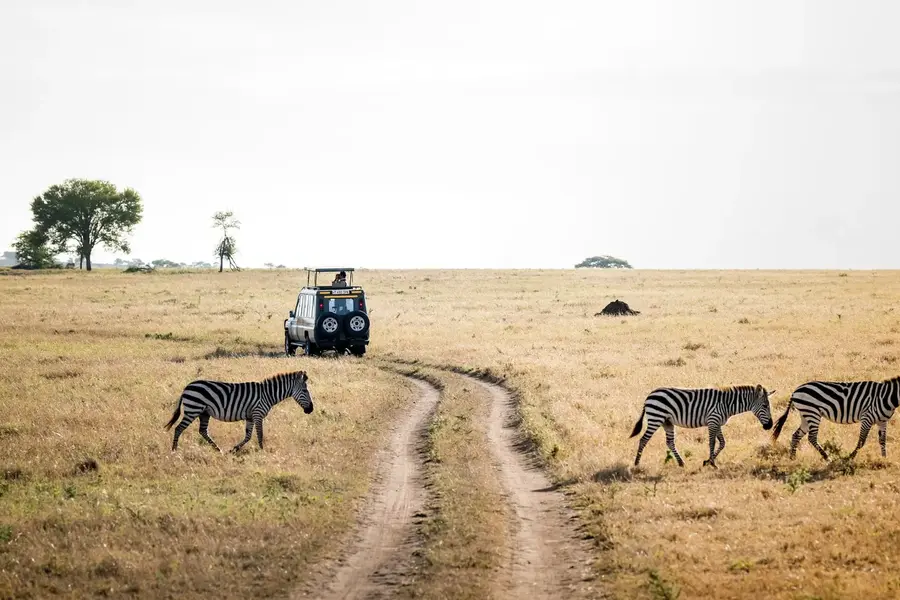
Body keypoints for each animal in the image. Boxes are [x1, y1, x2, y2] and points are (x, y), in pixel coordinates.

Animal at [164, 370, 313, 452]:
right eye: (305, 391)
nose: (311, 409)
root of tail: (187, 387)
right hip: (193, 409)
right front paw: (262, 451)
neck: (267, 394)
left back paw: (218, 449)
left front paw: (234, 449)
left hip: (204, 413)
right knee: (179, 428)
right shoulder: (257, 414)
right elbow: (260, 435)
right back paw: (174, 450)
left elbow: (248, 436)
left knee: (202, 431)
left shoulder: (250, 417)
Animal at [629, 384, 775, 468]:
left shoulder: (717, 423)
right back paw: (636, 464)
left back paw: (681, 463)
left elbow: (722, 443)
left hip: (667, 422)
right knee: (643, 440)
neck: (728, 404)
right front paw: (712, 463)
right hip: (656, 418)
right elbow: (712, 442)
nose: (770, 426)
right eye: (765, 406)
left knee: (670, 442)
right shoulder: (713, 420)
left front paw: (708, 461)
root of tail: (650, 395)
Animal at [771, 376, 900, 460]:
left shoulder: (882, 421)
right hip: (813, 413)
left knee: (796, 435)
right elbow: (862, 441)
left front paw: (884, 459)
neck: (886, 397)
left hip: (805, 415)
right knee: (812, 437)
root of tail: (795, 391)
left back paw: (792, 458)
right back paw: (827, 457)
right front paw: (850, 457)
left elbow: (882, 440)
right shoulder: (867, 418)